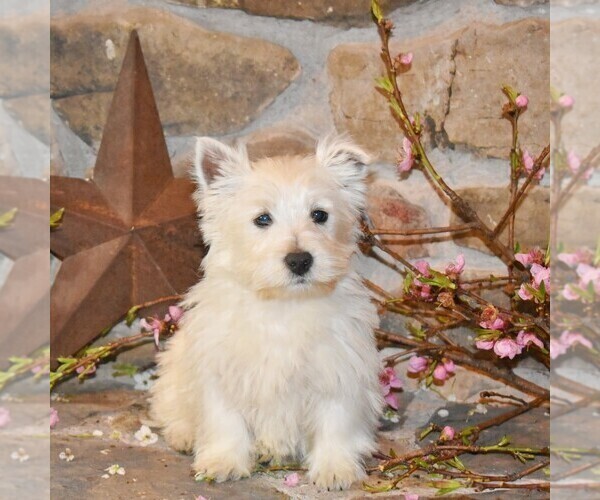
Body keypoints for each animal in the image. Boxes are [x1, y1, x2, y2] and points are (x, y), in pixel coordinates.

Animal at [151, 135, 384, 490]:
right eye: (262, 219)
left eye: (319, 215)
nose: (300, 260)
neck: (283, 303)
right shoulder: (221, 373)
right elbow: (225, 421)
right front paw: (223, 462)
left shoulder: (338, 371)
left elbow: (336, 422)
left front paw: (334, 468)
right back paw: (184, 435)